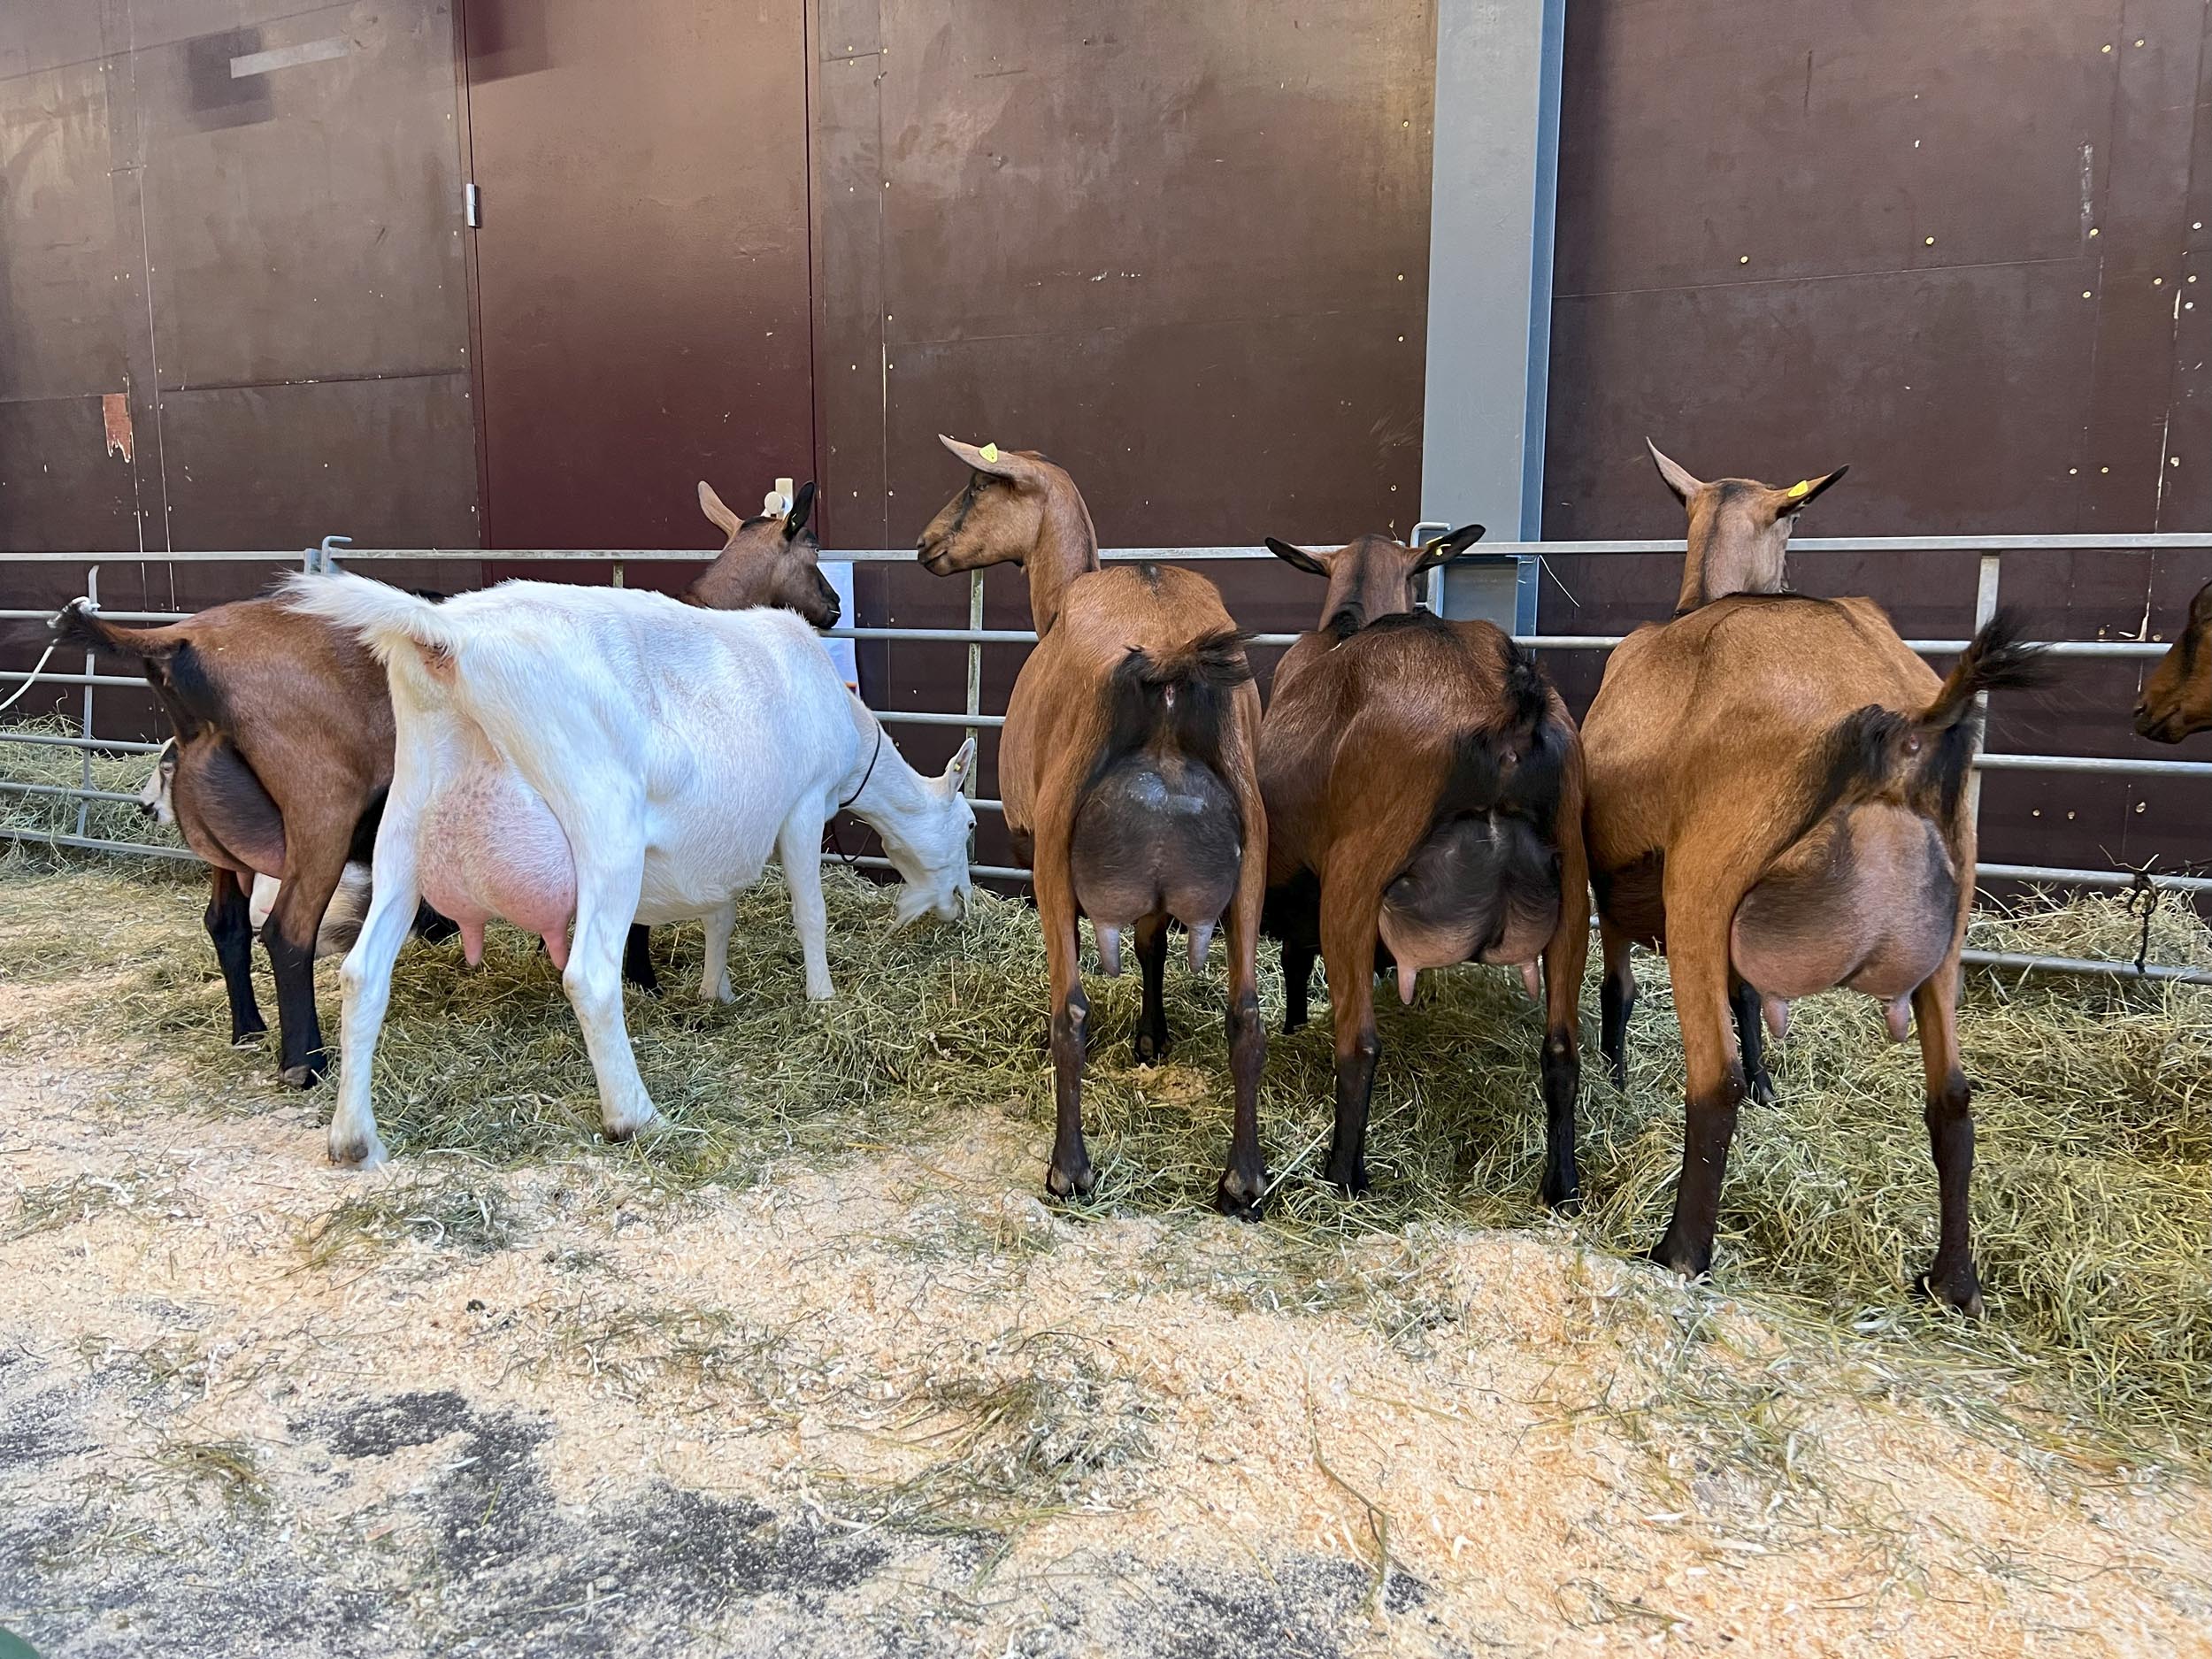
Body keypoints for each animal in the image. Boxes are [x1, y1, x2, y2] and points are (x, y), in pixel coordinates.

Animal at [50, 486, 831, 1082]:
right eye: (815, 553)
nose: (833, 608)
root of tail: (180, 646)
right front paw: (642, 979)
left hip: (227, 842)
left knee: (226, 924)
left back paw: (249, 1029)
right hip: (319, 813)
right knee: (287, 932)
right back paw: (305, 1061)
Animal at [284, 573, 975, 1167]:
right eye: (970, 825)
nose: (962, 909)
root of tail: (446, 638)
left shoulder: (720, 837)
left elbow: (720, 914)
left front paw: (715, 992)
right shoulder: (801, 806)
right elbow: (811, 912)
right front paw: (824, 998)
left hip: (404, 825)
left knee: (362, 972)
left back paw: (354, 1138)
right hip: (604, 827)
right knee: (590, 976)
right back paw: (636, 1115)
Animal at [916, 437, 1269, 1215]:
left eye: (977, 485)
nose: (925, 545)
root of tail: (1167, 658)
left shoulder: (1039, 853)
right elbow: (1149, 946)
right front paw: (1151, 1038)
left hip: (1054, 852)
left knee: (1069, 1011)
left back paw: (1068, 1169)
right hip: (1253, 850)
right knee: (1247, 1013)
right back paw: (1243, 1179)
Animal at [1258, 530, 1591, 1204]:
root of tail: (1503, 711)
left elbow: (1295, 957)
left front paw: (1294, 1024)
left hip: (1355, 882)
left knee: (1358, 1043)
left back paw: (1342, 1176)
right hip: (1573, 887)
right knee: (1562, 1050)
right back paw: (1561, 1185)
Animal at [1580, 442, 2046, 1314]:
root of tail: (1906, 727)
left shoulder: (1617, 886)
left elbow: (1623, 991)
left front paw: (1617, 1079)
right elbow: (1747, 1000)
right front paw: (1769, 1086)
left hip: (1702, 885)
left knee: (1713, 1080)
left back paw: (1680, 1252)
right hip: (1948, 925)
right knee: (1953, 1098)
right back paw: (1954, 1283)